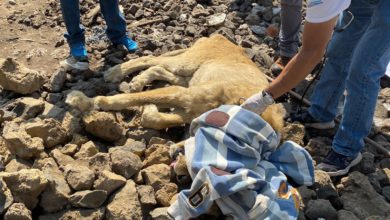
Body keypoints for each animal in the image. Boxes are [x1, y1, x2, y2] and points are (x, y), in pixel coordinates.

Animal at [66, 33, 284, 131]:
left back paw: (138, 80)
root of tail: (220, 36)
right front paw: (84, 101)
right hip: (186, 64)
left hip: (189, 76)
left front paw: (149, 109)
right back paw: (114, 73)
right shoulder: (183, 95)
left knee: (158, 68)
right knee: (151, 59)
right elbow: (124, 99)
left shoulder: (188, 111)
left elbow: (158, 119)